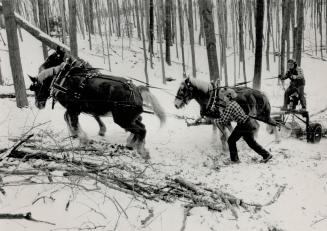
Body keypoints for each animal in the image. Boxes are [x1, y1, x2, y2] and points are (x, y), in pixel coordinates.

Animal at [29, 47, 167, 159]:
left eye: (52, 58)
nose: (38, 104)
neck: (66, 78)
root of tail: (136, 89)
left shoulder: (73, 108)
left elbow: (73, 122)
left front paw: (83, 139)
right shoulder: (76, 109)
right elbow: (69, 119)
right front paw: (77, 135)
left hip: (122, 119)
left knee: (142, 130)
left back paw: (141, 151)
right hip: (129, 117)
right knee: (141, 126)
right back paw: (132, 143)